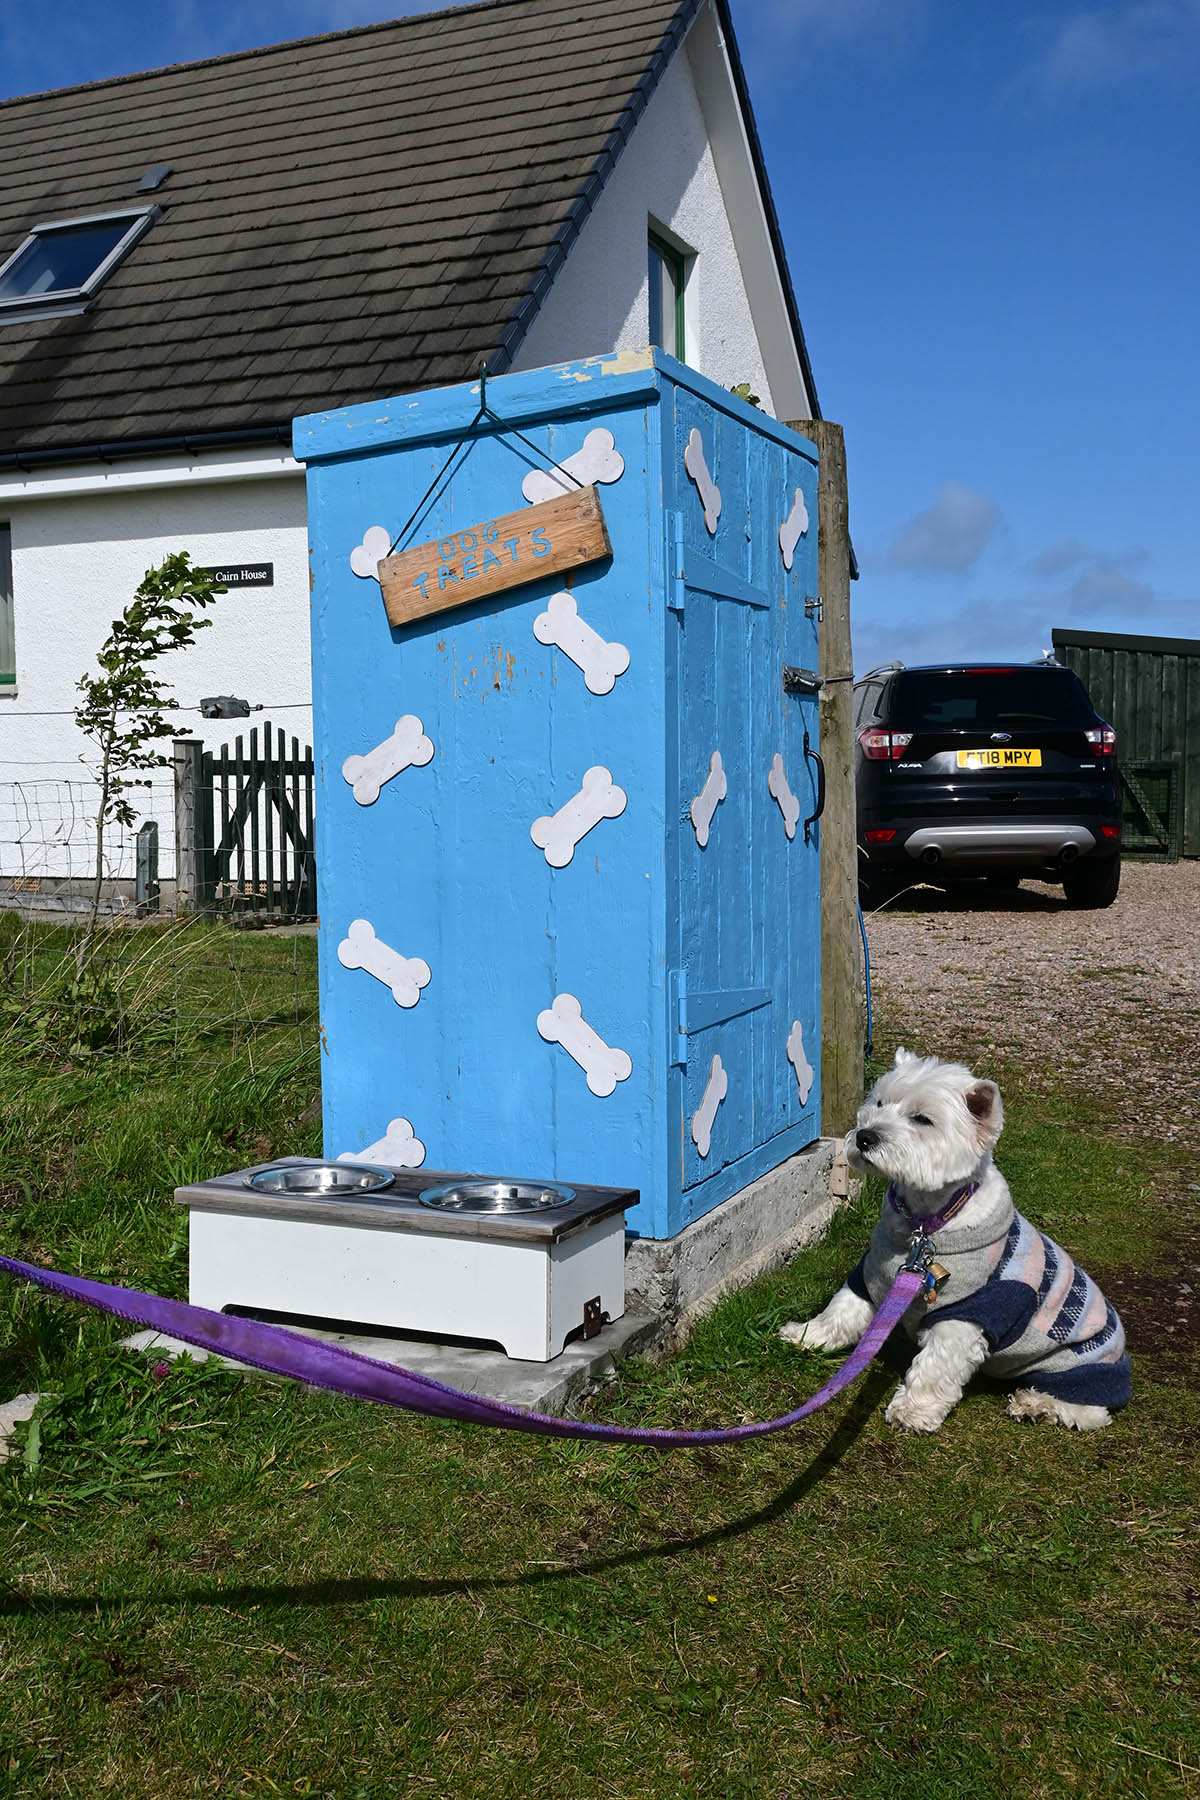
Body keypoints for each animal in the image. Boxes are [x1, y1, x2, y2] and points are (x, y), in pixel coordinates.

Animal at [784, 1051, 1129, 1432]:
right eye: (879, 1103)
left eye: (922, 1119)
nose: (864, 1137)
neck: (923, 1226)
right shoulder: (873, 1272)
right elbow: (843, 1307)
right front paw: (807, 1334)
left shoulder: (968, 1313)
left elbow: (936, 1367)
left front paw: (913, 1411)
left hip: (1073, 1366)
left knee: (1090, 1410)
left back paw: (1036, 1405)